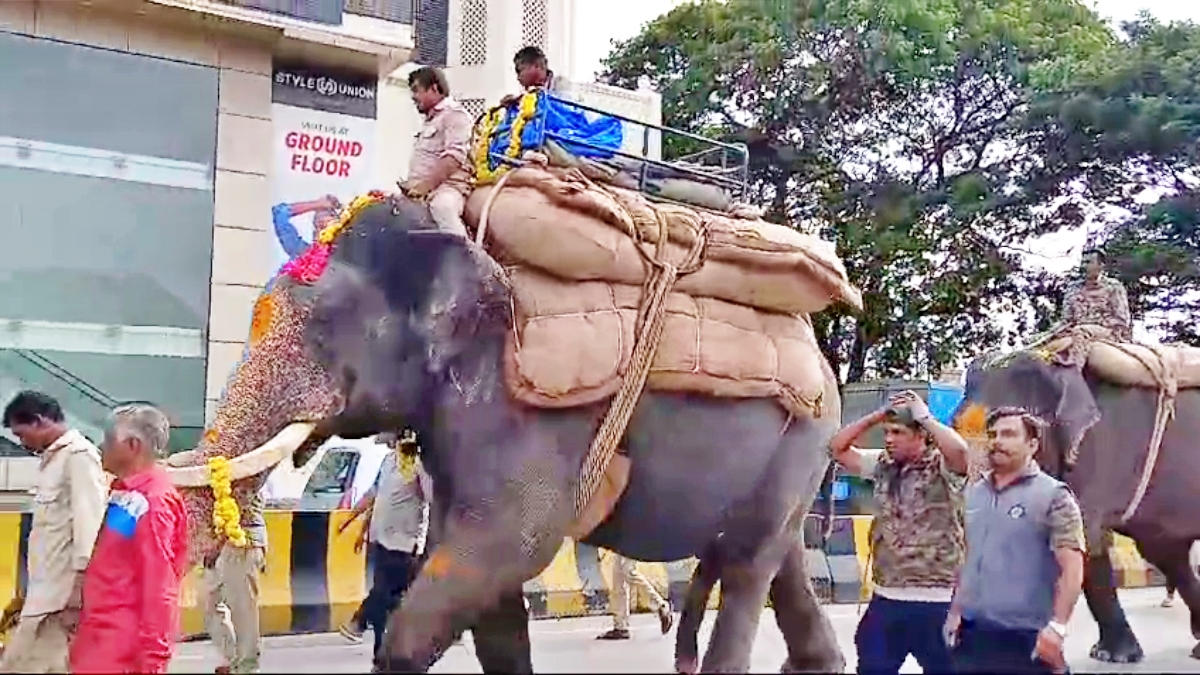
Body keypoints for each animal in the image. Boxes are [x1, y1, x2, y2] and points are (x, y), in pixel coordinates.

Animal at [164, 193, 849, 667]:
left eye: (326, 328)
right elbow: (483, 585)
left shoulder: (527, 412)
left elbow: (511, 544)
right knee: (778, 558)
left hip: (802, 436)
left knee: (746, 566)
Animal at [945, 355, 1200, 658]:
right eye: (955, 423)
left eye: (1009, 431)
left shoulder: (1097, 448)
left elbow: (1085, 544)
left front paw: (1114, 656)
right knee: (1166, 551)